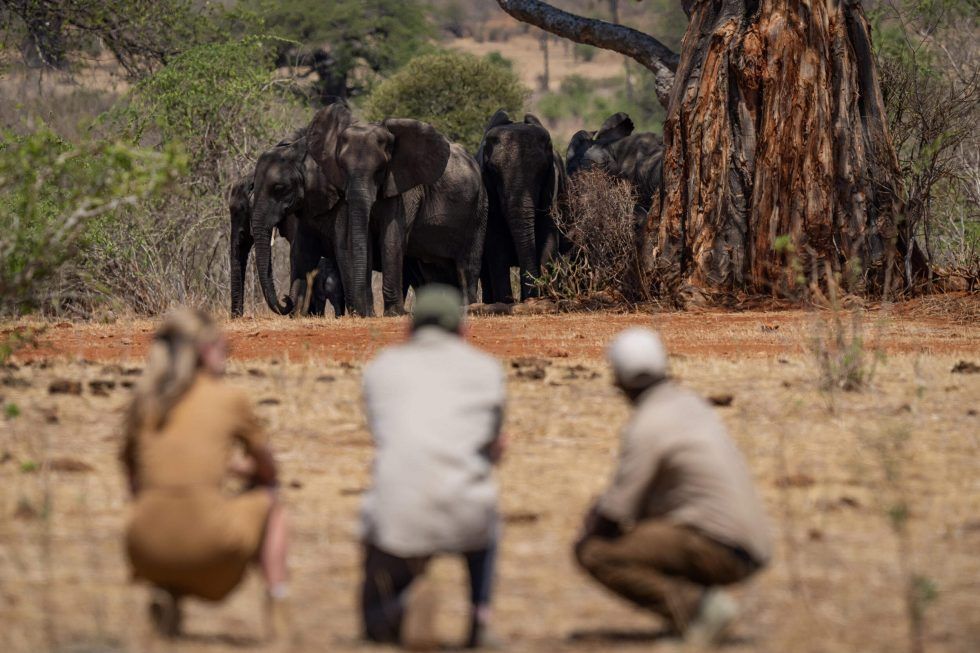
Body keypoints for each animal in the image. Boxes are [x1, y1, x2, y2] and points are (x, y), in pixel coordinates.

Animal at [307, 102, 487, 316]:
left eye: (380, 170)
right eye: (342, 168)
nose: (362, 312)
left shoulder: (404, 188)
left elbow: (392, 239)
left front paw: (394, 313)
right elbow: (366, 241)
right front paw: (371, 314)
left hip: (479, 208)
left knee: (467, 264)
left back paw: (470, 308)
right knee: (435, 270)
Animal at [477, 110, 567, 303]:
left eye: (542, 170)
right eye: (493, 171)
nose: (532, 298)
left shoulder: (552, 186)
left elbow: (548, 236)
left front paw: (545, 298)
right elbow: (496, 244)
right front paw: (506, 302)